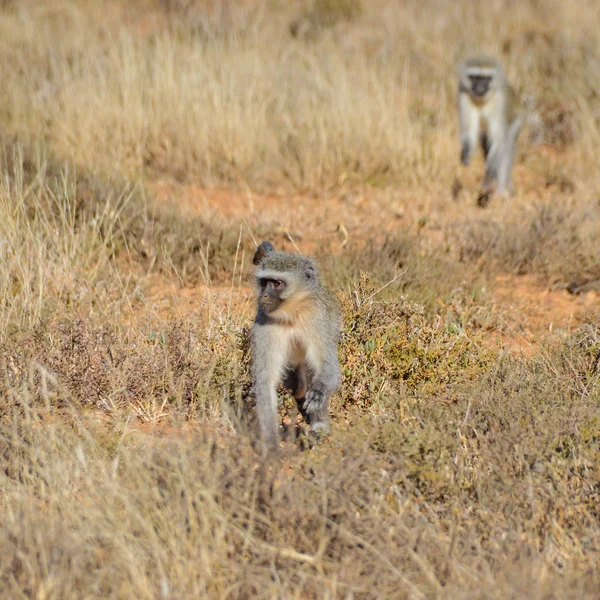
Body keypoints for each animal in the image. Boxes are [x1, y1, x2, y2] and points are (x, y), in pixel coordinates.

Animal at [250, 241, 342, 452]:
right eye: (264, 282)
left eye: (276, 283)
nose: (264, 295)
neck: (291, 314)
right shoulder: (266, 322)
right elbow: (265, 380)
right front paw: (271, 444)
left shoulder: (317, 318)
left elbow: (329, 367)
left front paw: (318, 393)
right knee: (296, 384)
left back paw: (319, 424)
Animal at [460, 56, 524, 206]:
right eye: (474, 78)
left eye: (486, 79)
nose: (479, 88)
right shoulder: (464, 95)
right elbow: (470, 133)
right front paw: (465, 155)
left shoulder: (499, 101)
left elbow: (499, 142)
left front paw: (491, 175)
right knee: (486, 147)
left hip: (516, 121)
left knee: (506, 147)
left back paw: (502, 190)